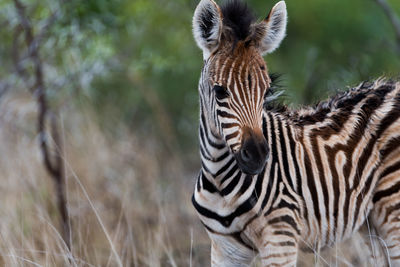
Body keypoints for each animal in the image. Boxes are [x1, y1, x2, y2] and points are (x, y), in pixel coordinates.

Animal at [191, 0, 400, 266]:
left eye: (266, 90)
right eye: (219, 91)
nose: (258, 156)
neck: (219, 180)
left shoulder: (280, 237)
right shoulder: (224, 248)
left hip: (392, 207)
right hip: (371, 222)